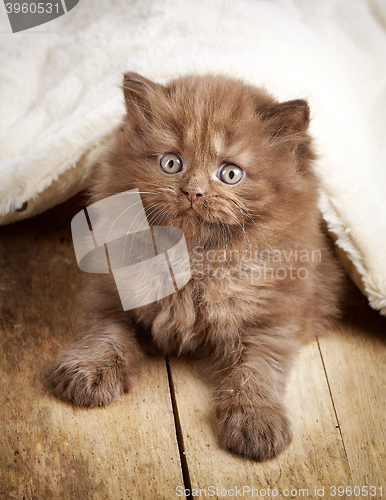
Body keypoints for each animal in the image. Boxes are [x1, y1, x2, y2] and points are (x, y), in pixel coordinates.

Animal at [49, 72, 342, 462]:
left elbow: (257, 368)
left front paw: (256, 421)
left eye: (230, 173)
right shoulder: (109, 292)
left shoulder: (275, 316)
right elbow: (107, 333)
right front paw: (88, 371)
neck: (194, 260)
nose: (193, 192)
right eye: (171, 163)